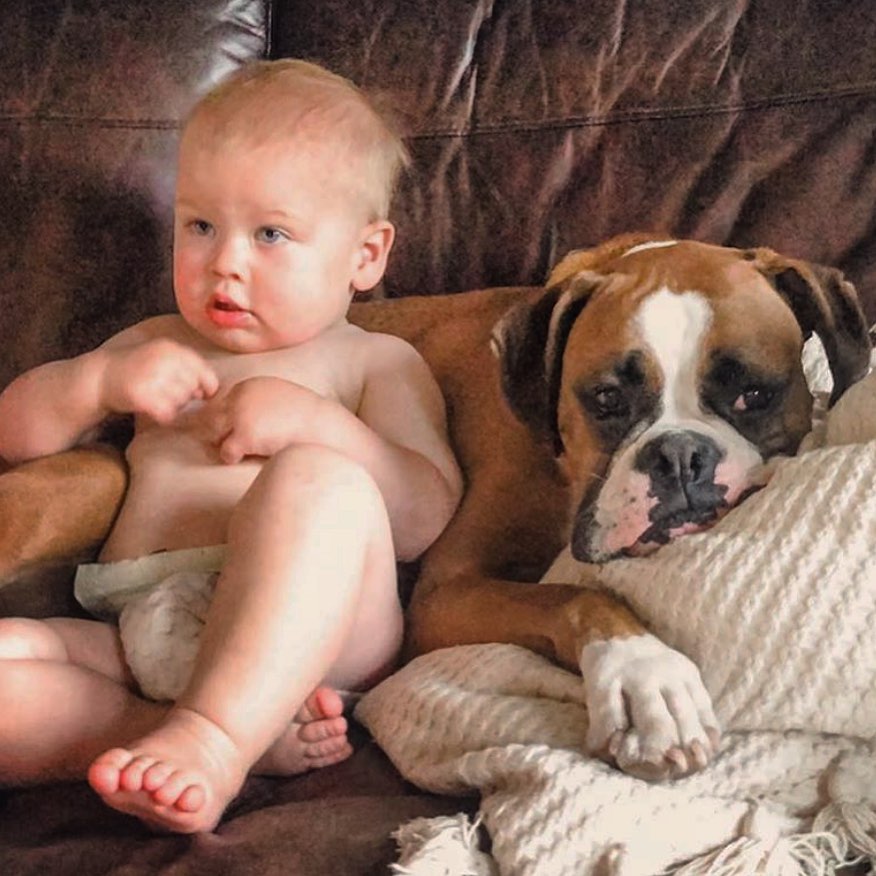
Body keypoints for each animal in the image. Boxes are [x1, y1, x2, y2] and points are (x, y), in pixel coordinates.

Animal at [1, 234, 868, 780]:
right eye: (607, 400)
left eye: (755, 395)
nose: (682, 458)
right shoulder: (449, 590)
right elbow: (574, 597)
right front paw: (644, 677)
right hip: (93, 479)